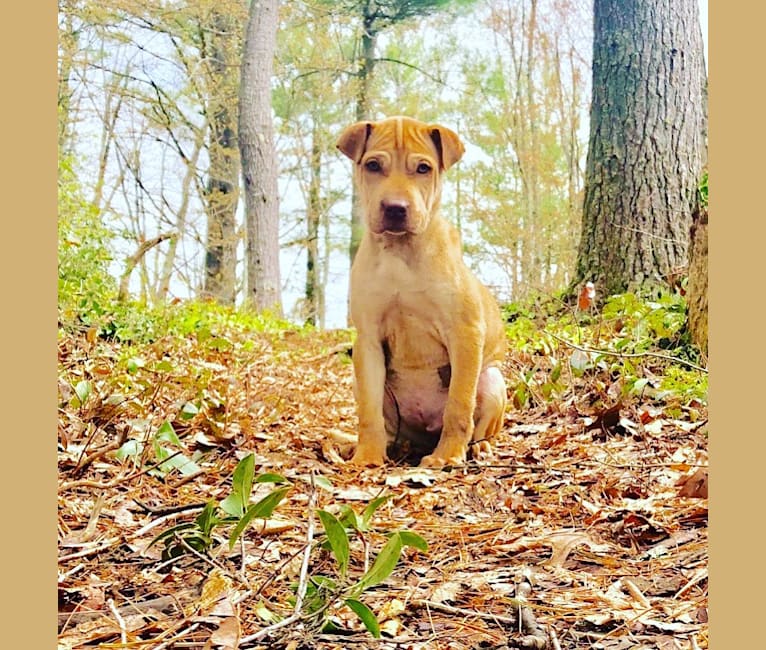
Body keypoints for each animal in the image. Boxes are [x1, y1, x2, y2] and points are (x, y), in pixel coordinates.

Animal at [338, 112, 508, 466]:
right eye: (373, 165)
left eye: (423, 168)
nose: (395, 208)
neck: (400, 253)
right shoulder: (368, 340)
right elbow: (369, 412)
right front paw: (367, 456)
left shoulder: (465, 332)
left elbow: (459, 404)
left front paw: (447, 456)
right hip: (360, 378)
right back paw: (390, 447)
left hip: (492, 379)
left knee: (480, 425)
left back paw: (477, 447)